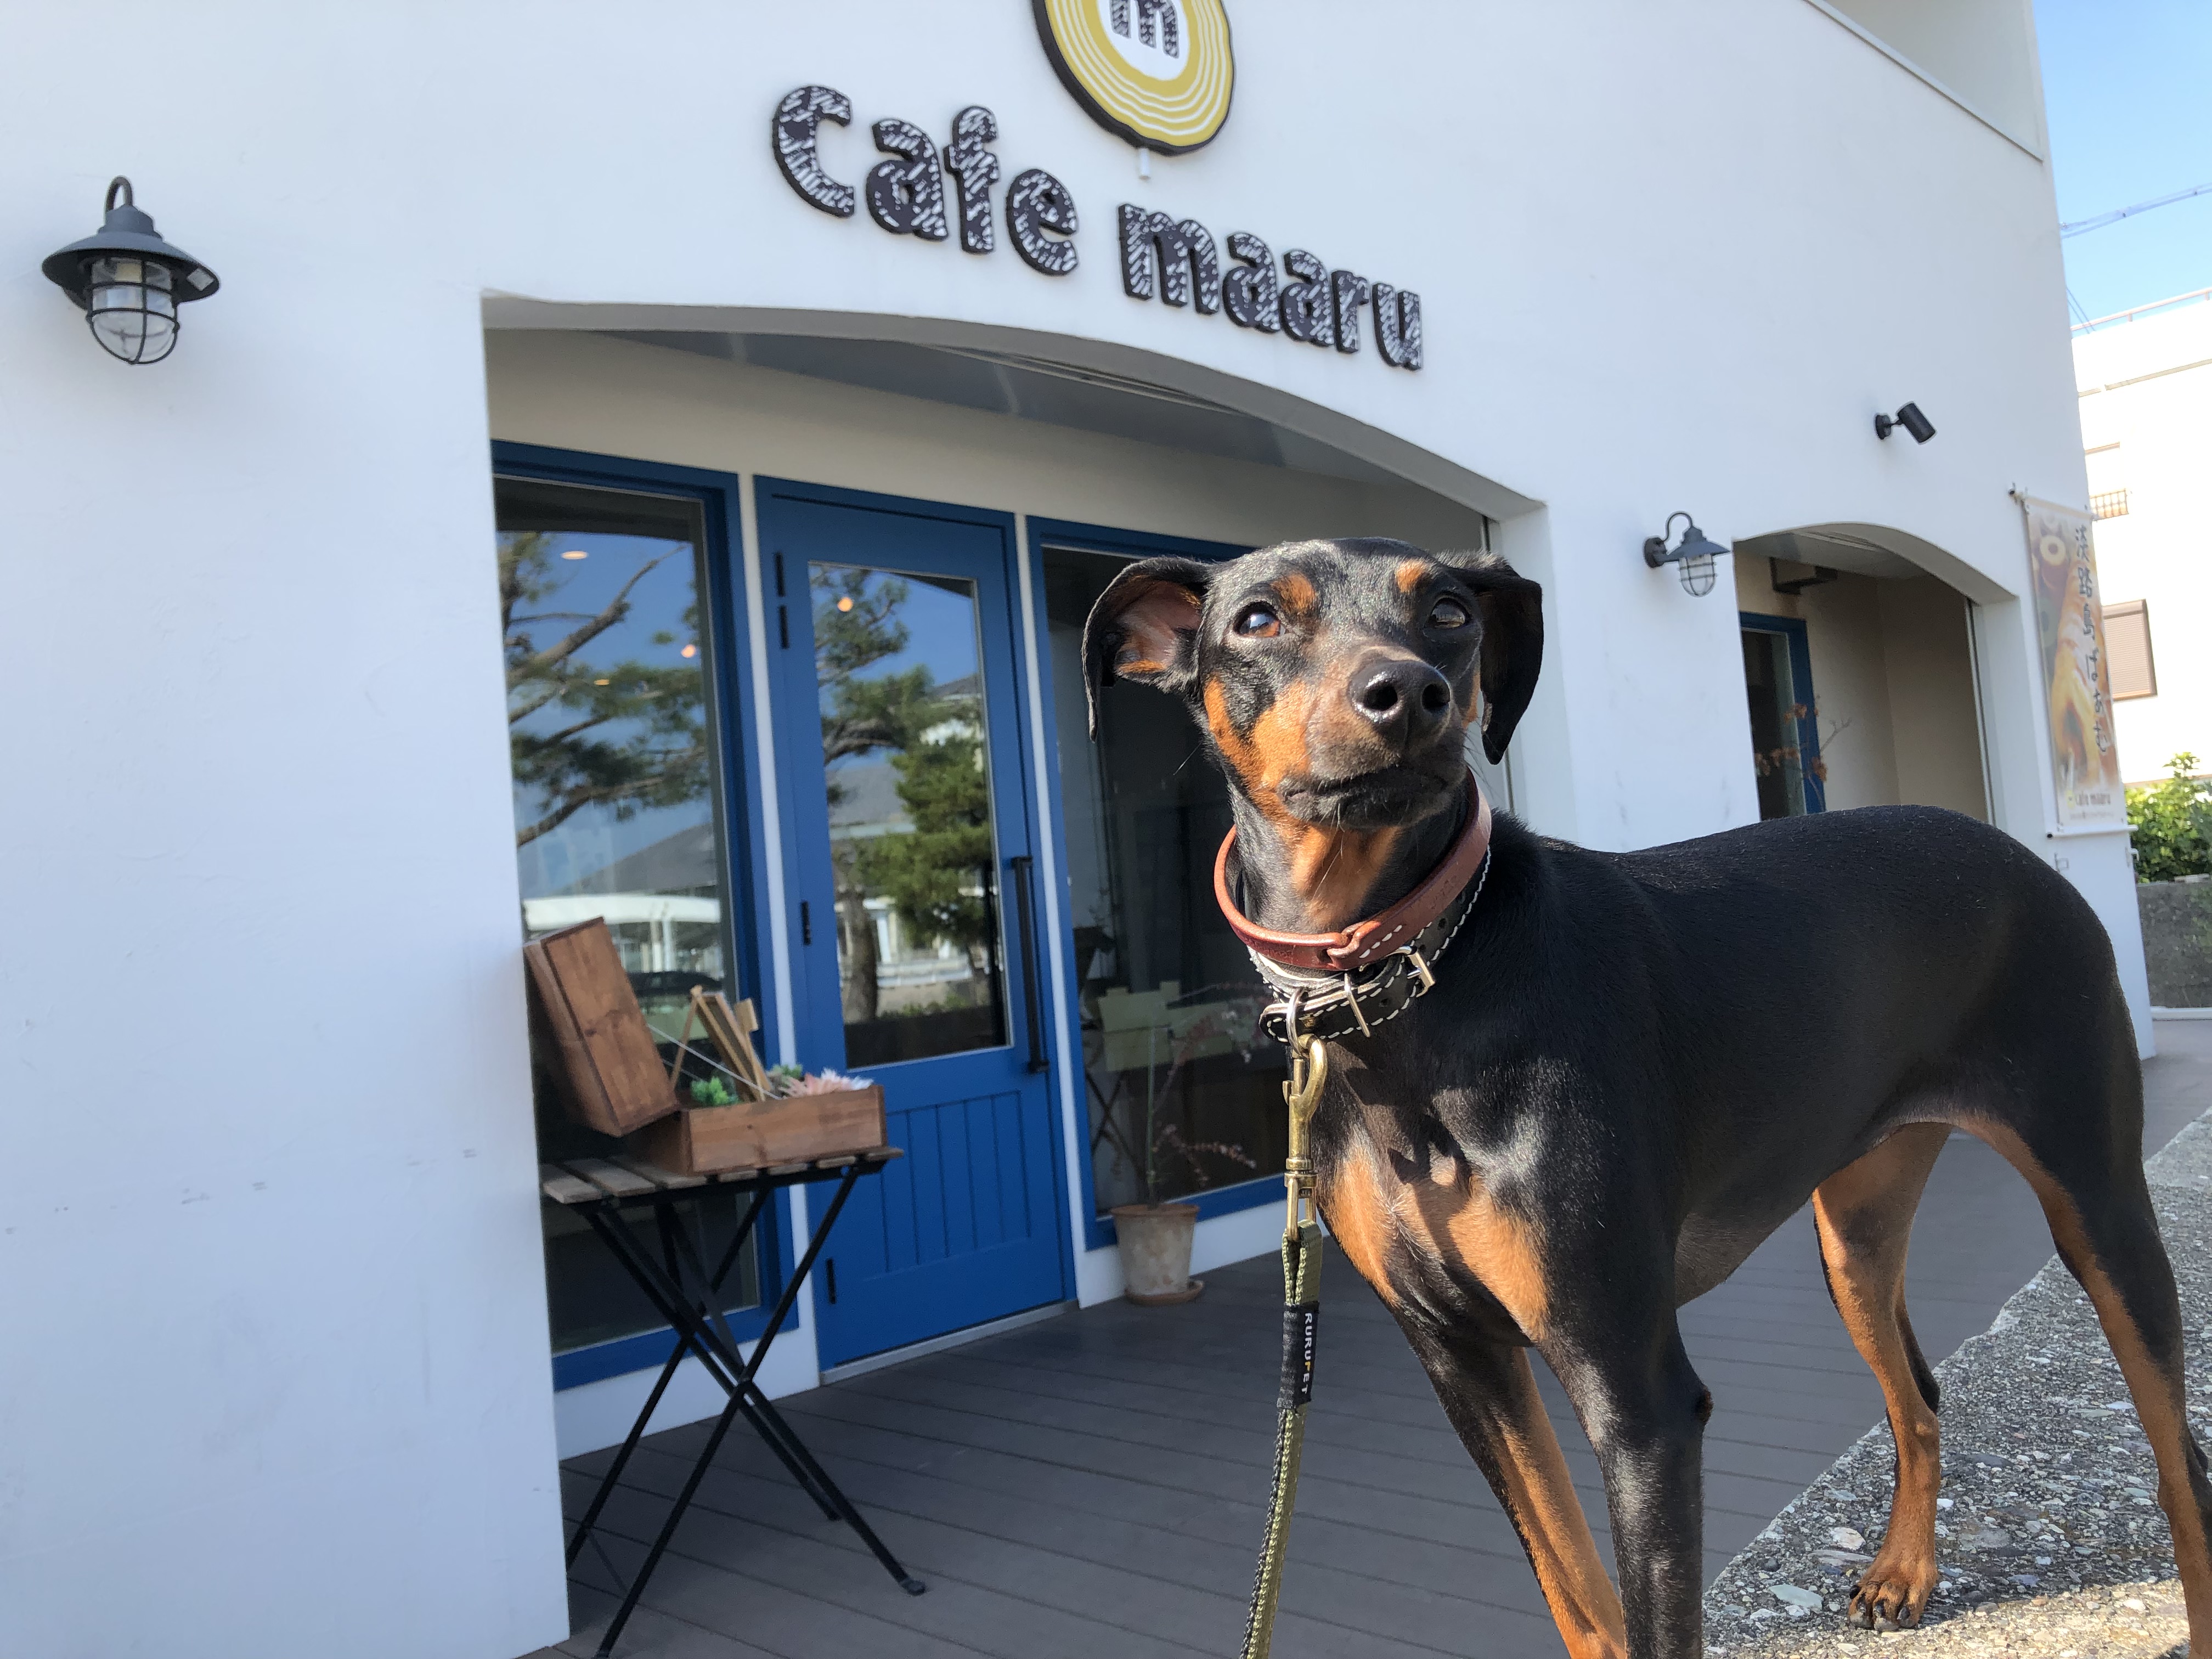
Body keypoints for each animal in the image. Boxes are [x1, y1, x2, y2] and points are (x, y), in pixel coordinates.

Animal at [1079, 541, 2203, 1659]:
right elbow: (1579, 1600)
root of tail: (2017, 852)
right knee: (1918, 1392)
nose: (1408, 694)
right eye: (1258, 620)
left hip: (2097, 1204)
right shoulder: (1463, 1362)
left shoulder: (1637, 1398)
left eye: (1448, 612)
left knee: (2177, 1455)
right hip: (1855, 1232)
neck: (1405, 981)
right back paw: (1903, 1572)